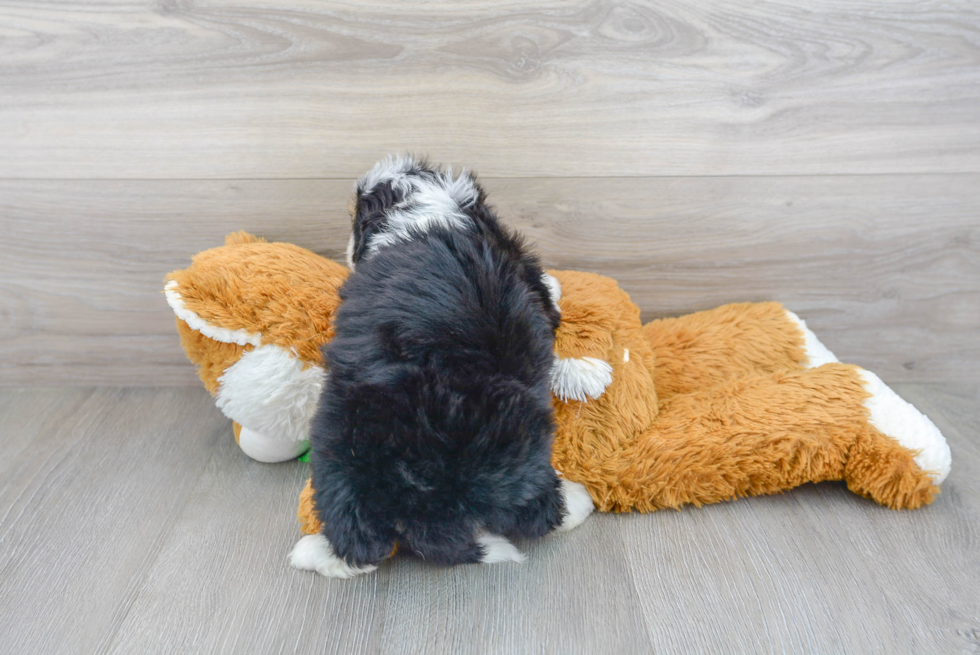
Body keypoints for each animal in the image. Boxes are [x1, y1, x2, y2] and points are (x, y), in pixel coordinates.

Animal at [288, 156, 592, 576]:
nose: (348, 249)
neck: (424, 209)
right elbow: (547, 293)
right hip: (524, 439)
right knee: (540, 509)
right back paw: (576, 501)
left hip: (336, 436)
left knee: (356, 532)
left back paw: (316, 551)